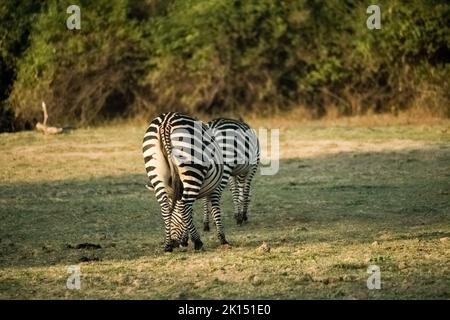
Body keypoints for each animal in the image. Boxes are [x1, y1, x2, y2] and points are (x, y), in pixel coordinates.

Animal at [142, 112, 229, 252]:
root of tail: (165, 122)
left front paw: (183, 239)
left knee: (165, 207)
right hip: (192, 169)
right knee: (185, 206)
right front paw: (222, 239)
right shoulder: (216, 189)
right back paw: (198, 242)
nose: (175, 242)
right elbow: (215, 209)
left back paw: (168, 245)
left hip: (155, 171)